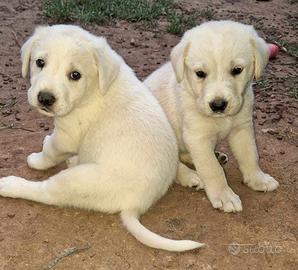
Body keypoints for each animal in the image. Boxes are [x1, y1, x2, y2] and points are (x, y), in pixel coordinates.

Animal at [0, 24, 203, 251]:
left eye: (75, 75)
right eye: (40, 62)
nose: (45, 98)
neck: (95, 88)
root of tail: (137, 204)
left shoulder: (66, 136)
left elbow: (49, 151)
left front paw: (36, 159)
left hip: (76, 181)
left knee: (45, 192)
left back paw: (10, 185)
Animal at [145, 20, 280, 212]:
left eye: (237, 70)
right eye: (200, 73)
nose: (218, 105)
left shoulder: (242, 128)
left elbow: (250, 154)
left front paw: (257, 178)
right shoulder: (197, 137)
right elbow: (212, 169)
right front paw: (224, 196)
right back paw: (191, 177)